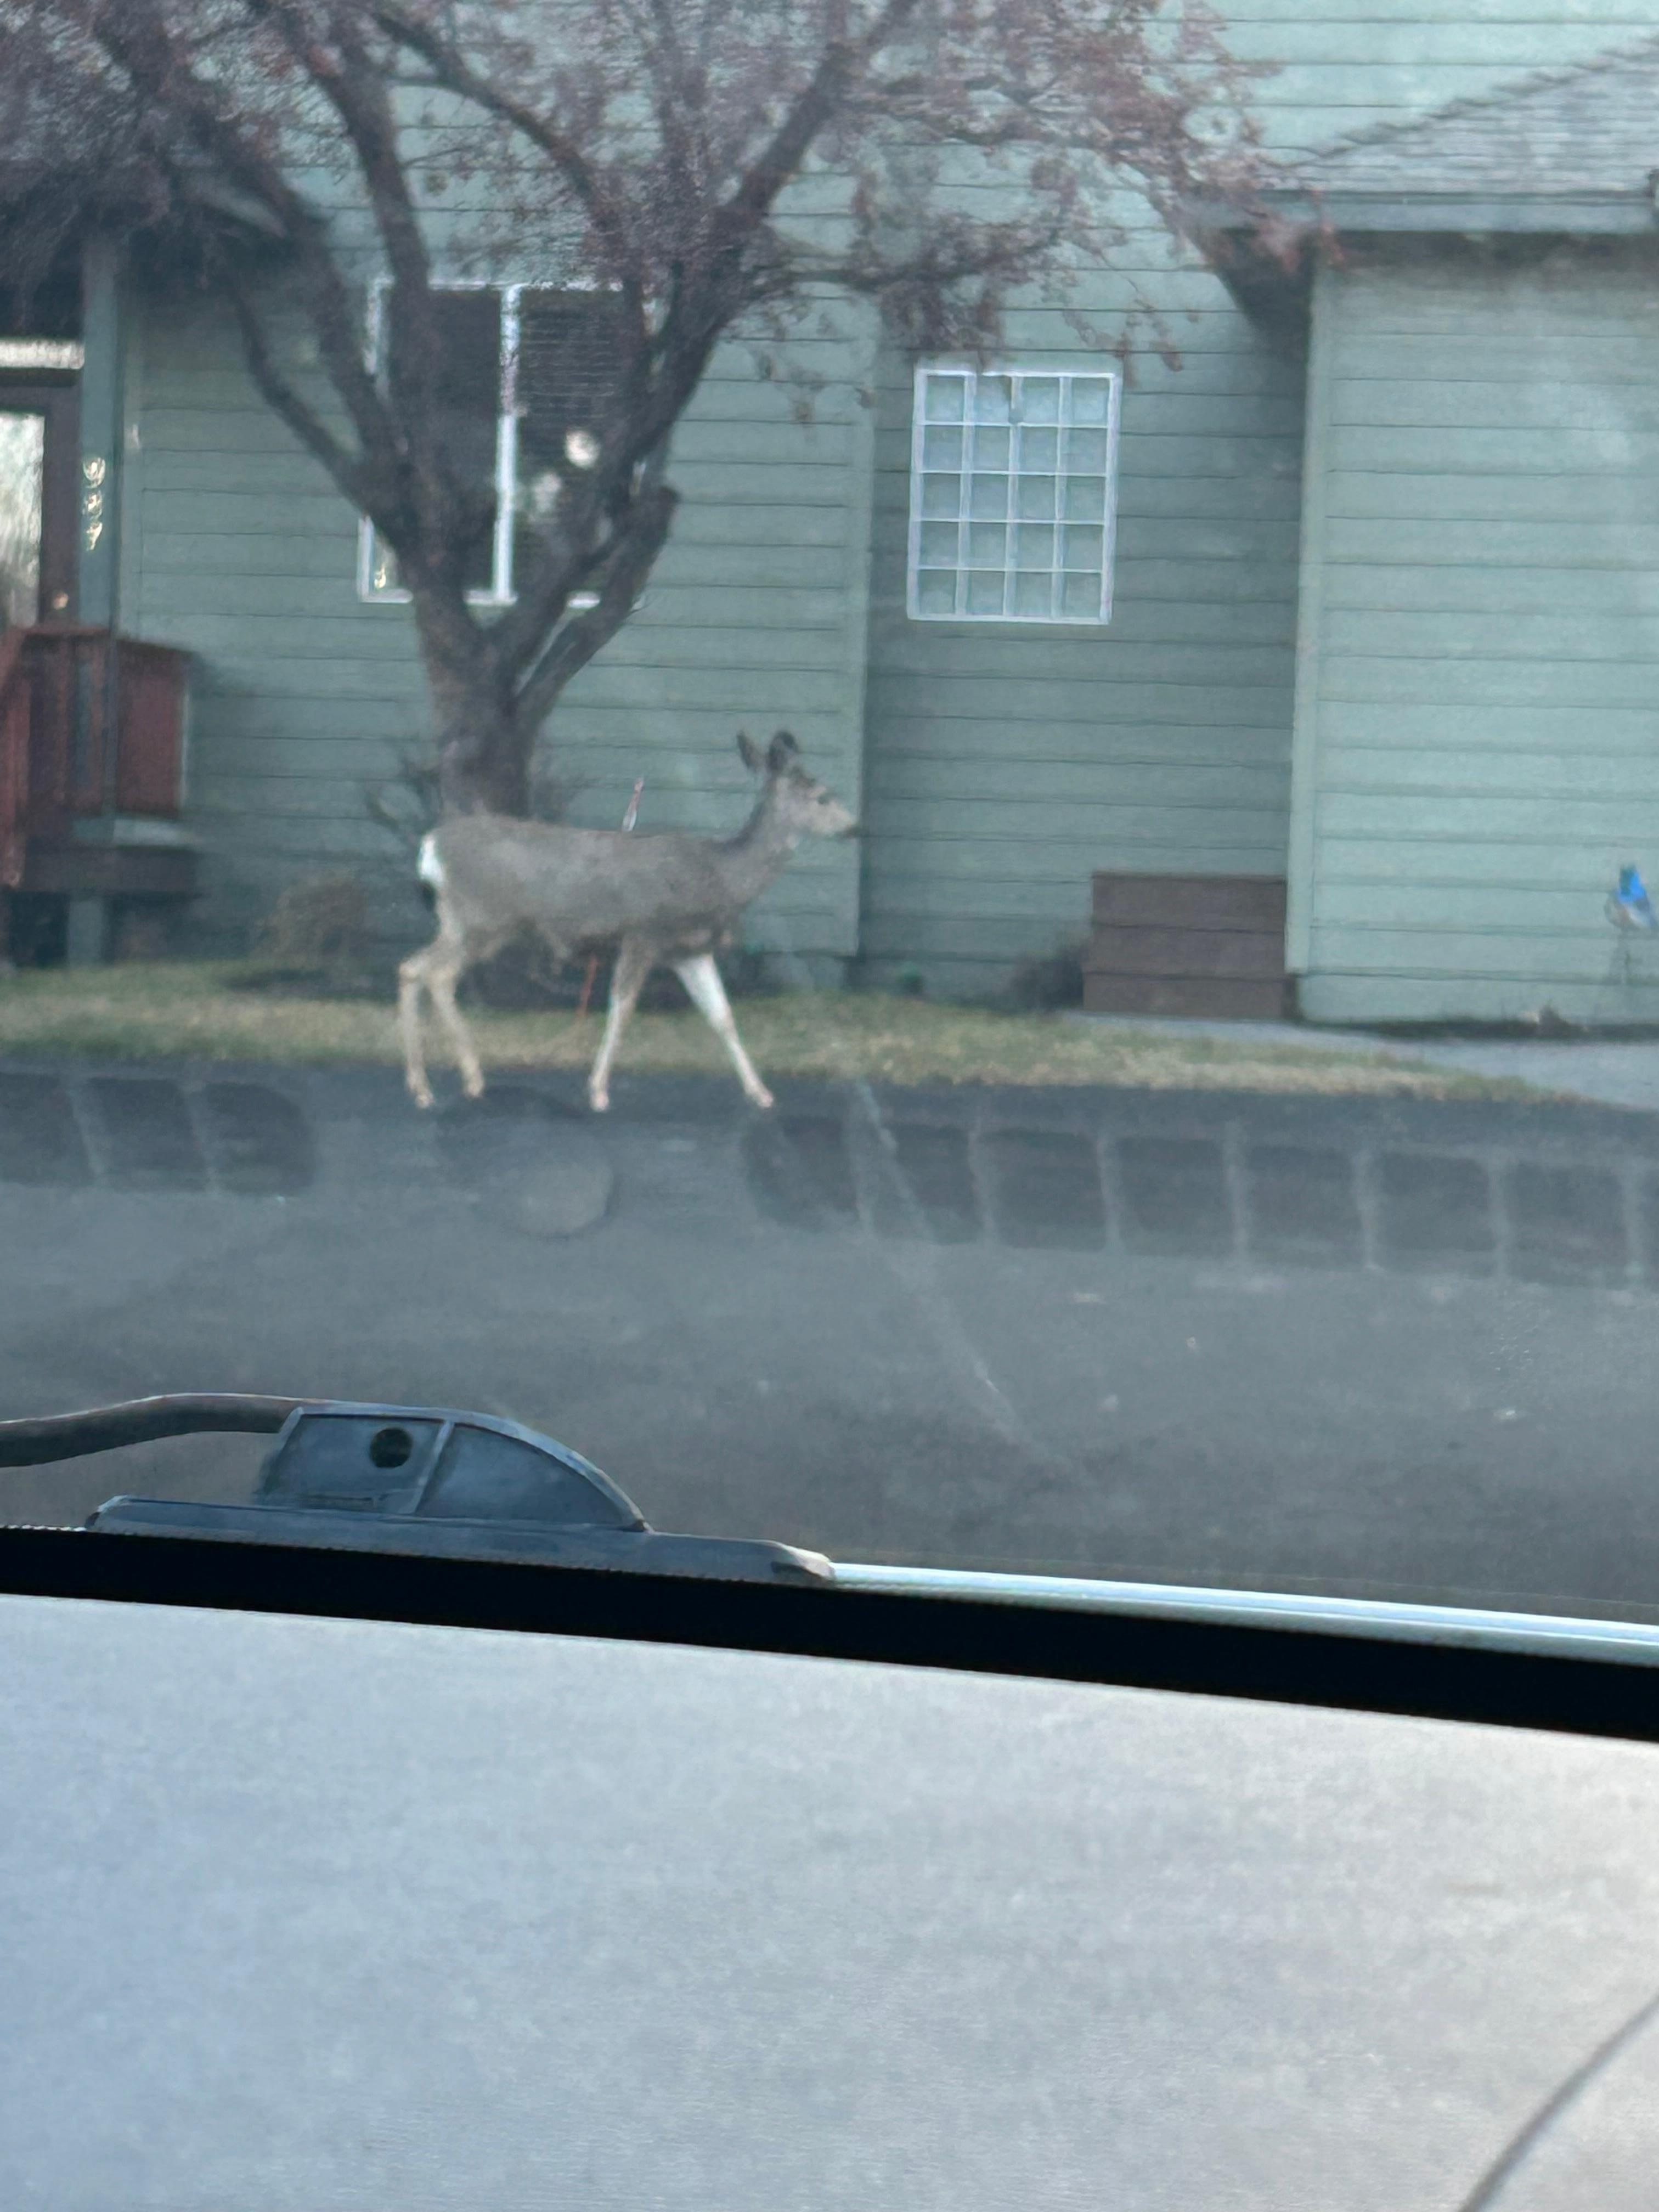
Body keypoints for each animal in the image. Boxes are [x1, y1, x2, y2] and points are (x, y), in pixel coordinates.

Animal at [399, 730, 857, 1114]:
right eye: (822, 796)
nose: (855, 827)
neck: (720, 876)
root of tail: (430, 847)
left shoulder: (689, 950)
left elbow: (722, 1016)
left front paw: (760, 1092)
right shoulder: (642, 935)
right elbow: (622, 1009)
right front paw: (598, 1090)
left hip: (463, 922)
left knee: (411, 968)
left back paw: (422, 1088)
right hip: (482, 919)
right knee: (435, 974)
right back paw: (470, 1079)